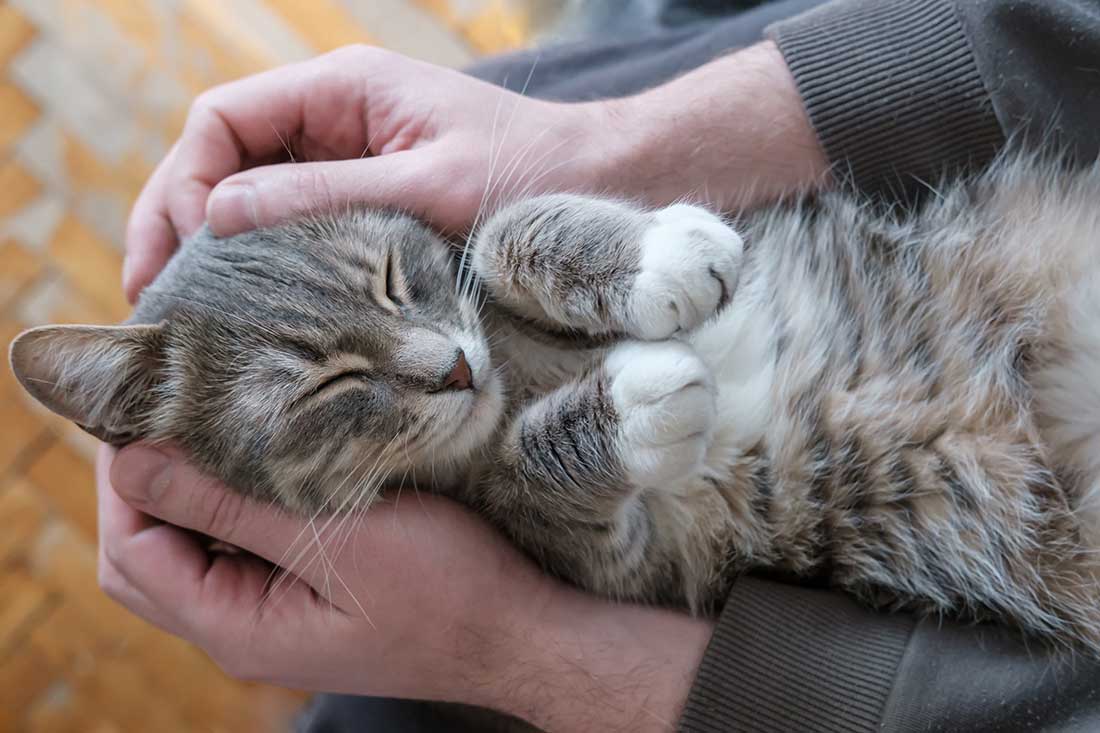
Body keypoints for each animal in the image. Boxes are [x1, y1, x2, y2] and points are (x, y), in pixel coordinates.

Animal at [6, 154, 1100, 651]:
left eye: (392, 280)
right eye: (327, 383)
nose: (452, 368)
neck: (521, 380)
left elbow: (496, 234)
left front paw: (654, 256)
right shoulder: (639, 563)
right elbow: (535, 485)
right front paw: (629, 404)